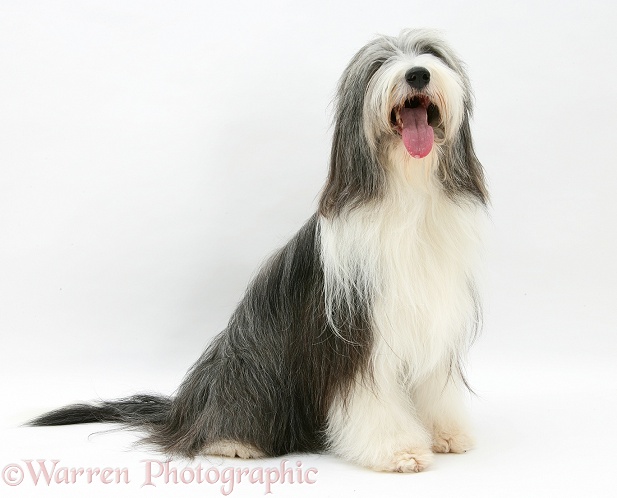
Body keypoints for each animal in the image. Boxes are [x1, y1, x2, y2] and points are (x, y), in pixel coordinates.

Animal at [31, 29, 488, 472]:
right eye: (379, 64)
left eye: (431, 54)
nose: (417, 74)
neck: (408, 193)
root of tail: (184, 411)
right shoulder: (353, 333)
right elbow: (372, 398)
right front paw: (398, 450)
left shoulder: (432, 316)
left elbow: (434, 386)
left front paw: (446, 433)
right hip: (251, 364)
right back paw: (234, 442)